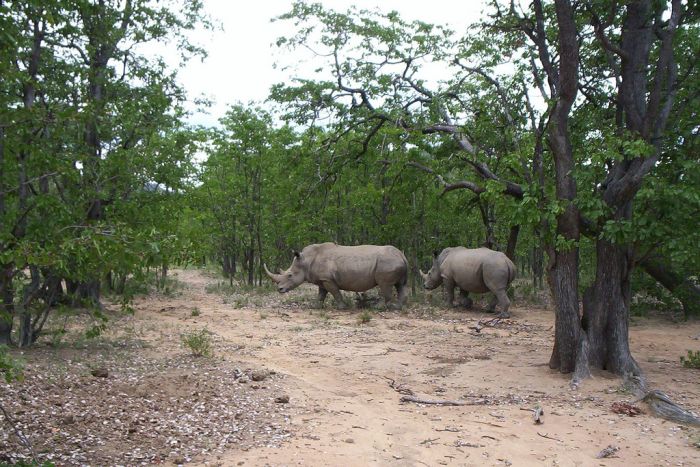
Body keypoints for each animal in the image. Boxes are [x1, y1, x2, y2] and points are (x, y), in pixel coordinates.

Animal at [266, 241, 410, 310]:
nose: (279, 289)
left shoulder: (328, 279)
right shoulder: (323, 279)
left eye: (290, 275)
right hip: (394, 261)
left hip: (388, 262)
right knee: (400, 285)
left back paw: (378, 308)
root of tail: (402, 256)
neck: (306, 260)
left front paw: (342, 307)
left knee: (385, 285)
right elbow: (321, 294)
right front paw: (315, 306)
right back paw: (397, 308)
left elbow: (335, 292)